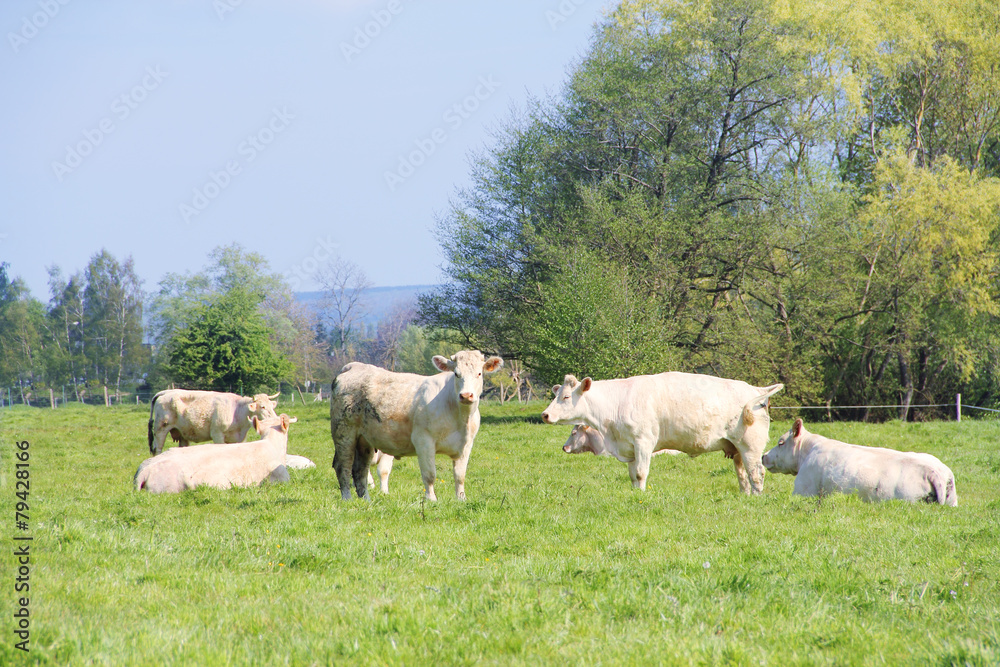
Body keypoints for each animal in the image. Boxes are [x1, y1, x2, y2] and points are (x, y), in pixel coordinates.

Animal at [147, 389, 280, 454]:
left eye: (271, 406)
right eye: (262, 406)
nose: (276, 418)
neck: (237, 412)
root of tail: (165, 393)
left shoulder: (239, 439)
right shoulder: (217, 434)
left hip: (182, 434)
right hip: (161, 429)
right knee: (158, 449)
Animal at [331, 350, 504, 501]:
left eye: (479, 373)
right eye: (456, 373)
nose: (466, 395)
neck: (459, 417)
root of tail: (354, 366)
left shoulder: (466, 445)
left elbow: (460, 476)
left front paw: (461, 499)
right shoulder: (423, 440)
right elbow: (430, 474)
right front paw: (431, 499)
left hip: (364, 441)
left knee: (360, 470)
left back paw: (366, 500)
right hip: (344, 434)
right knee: (343, 466)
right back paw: (347, 498)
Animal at [541, 372, 784, 494]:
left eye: (565, 397)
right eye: (557, 395)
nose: (545, 414)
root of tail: (755, 389)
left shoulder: (643, 442)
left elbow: (641, 473)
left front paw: (642, 495)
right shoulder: (630, 446)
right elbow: (633, 475)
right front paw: (635, 494)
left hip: (751, 446)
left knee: (756, 473)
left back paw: (757, 498)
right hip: (737, 450)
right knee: (743, 476)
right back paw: (745, 496)